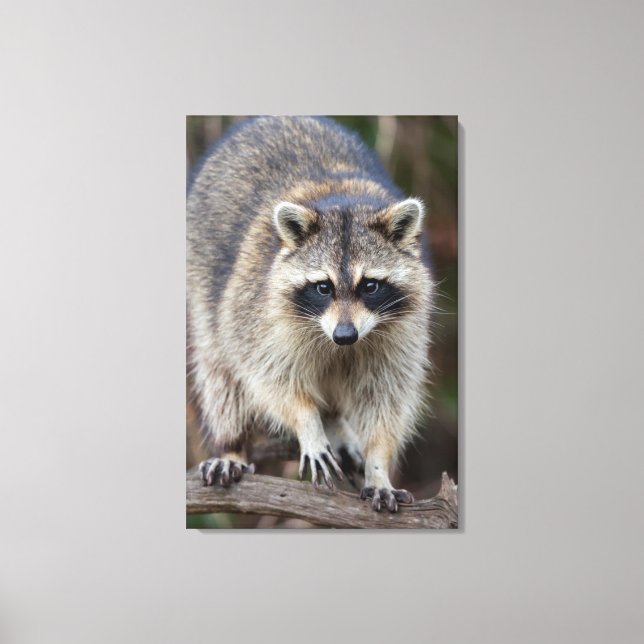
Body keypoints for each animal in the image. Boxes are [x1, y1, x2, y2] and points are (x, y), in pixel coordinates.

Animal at [187, 116, 433, 513]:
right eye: (323, 287)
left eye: (370, 286)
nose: (345, 336)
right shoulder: (256, 311)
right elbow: (271, 378)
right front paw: (308, 423)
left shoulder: (402, 331)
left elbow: (386, 397)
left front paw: (378, 465)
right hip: (203, 285)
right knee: (220, 375)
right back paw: (232, 445)